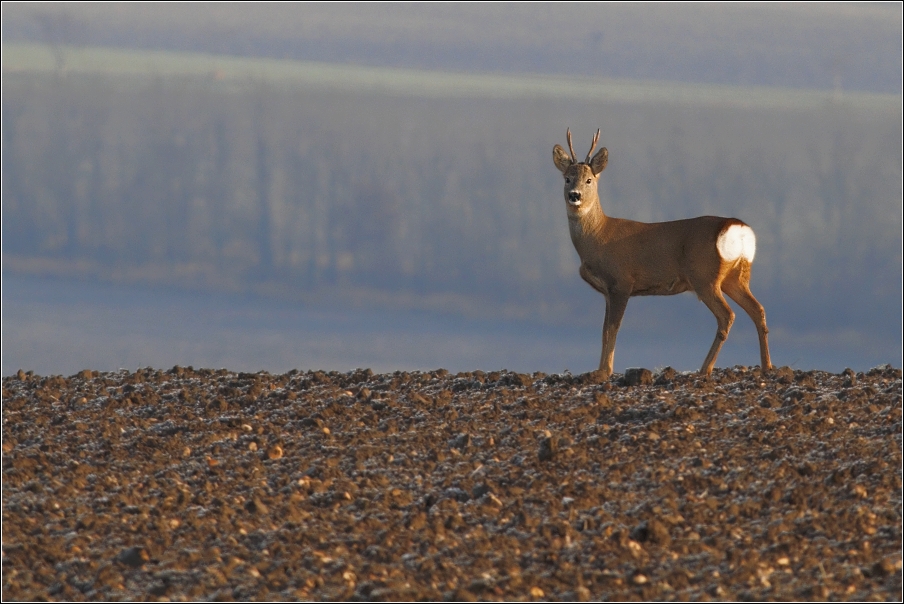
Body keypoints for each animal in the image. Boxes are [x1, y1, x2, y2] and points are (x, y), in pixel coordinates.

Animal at [556, 129, 772, 378]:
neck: (597, 238)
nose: (574, 195)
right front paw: (600, 369)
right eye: (567, 178)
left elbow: (612, 329)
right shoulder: (608, 291)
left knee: (727, 316)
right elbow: (603, 331)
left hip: (704, 276)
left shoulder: (621, 281)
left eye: (589, 180)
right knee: (757, 310)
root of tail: (738, 228)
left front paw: (605, 371)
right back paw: (767, 366)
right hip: (736, 276)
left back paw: (704, 369)